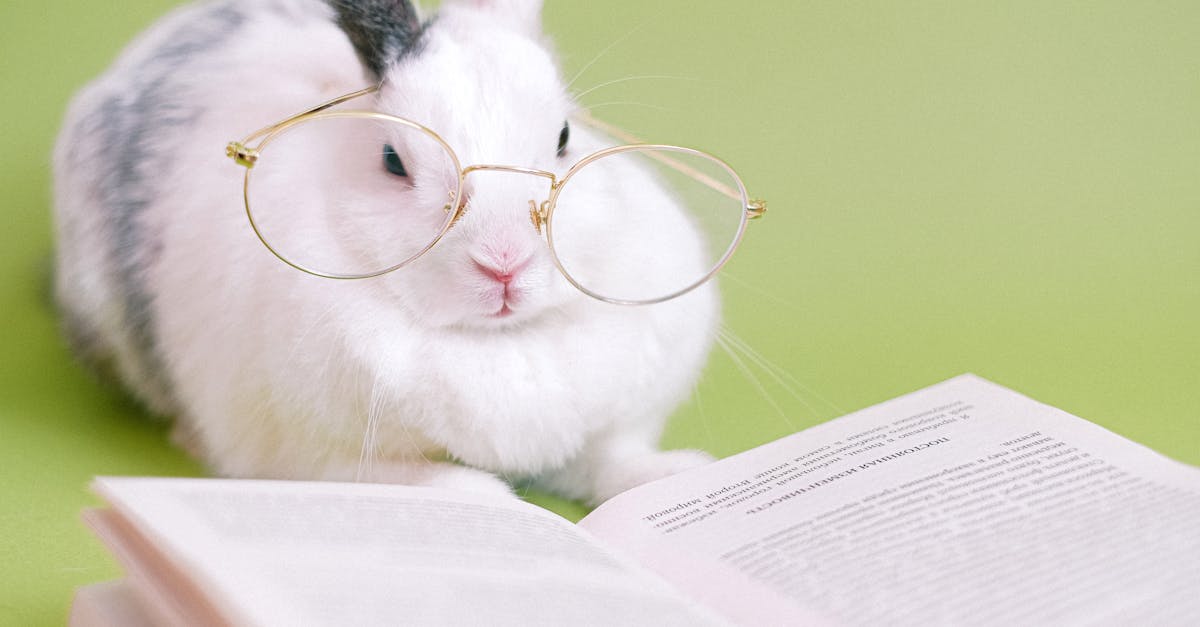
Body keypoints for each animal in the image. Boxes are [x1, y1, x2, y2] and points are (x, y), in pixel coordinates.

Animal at [53, 0, 720, 504]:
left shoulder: (606, 431)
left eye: (564, 137)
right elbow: (423, 482)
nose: (504, 263)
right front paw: (491, 500)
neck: (497, 343)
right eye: (393, 161)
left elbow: (613, 463)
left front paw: (681, 472)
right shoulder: (312, 457)